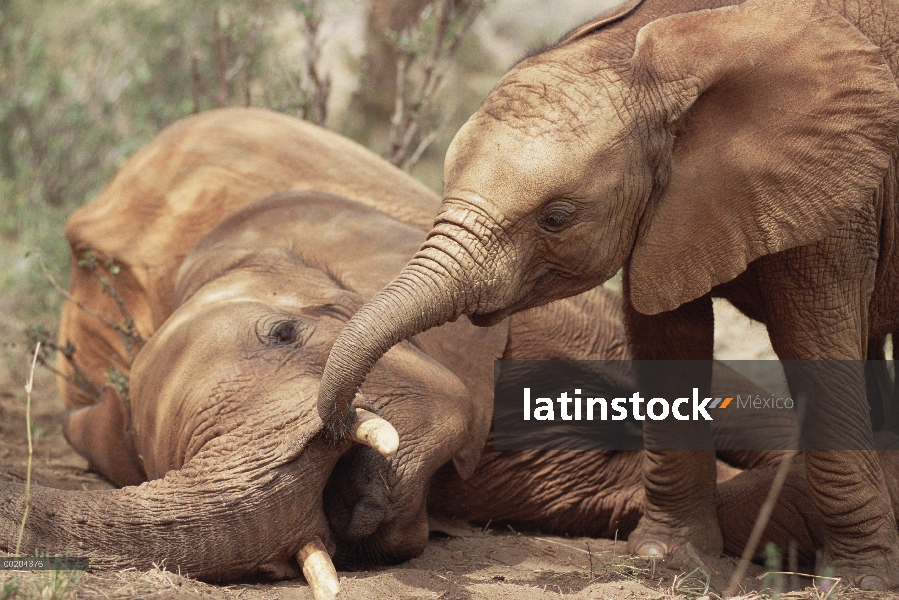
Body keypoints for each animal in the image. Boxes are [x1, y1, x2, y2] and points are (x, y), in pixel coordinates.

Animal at [318, 0, 899, 592]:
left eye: (556, 218)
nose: (346, 424)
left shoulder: (835, 194)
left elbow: (814, 349)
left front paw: (859, 584)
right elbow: (665, 337)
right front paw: (666, 559)